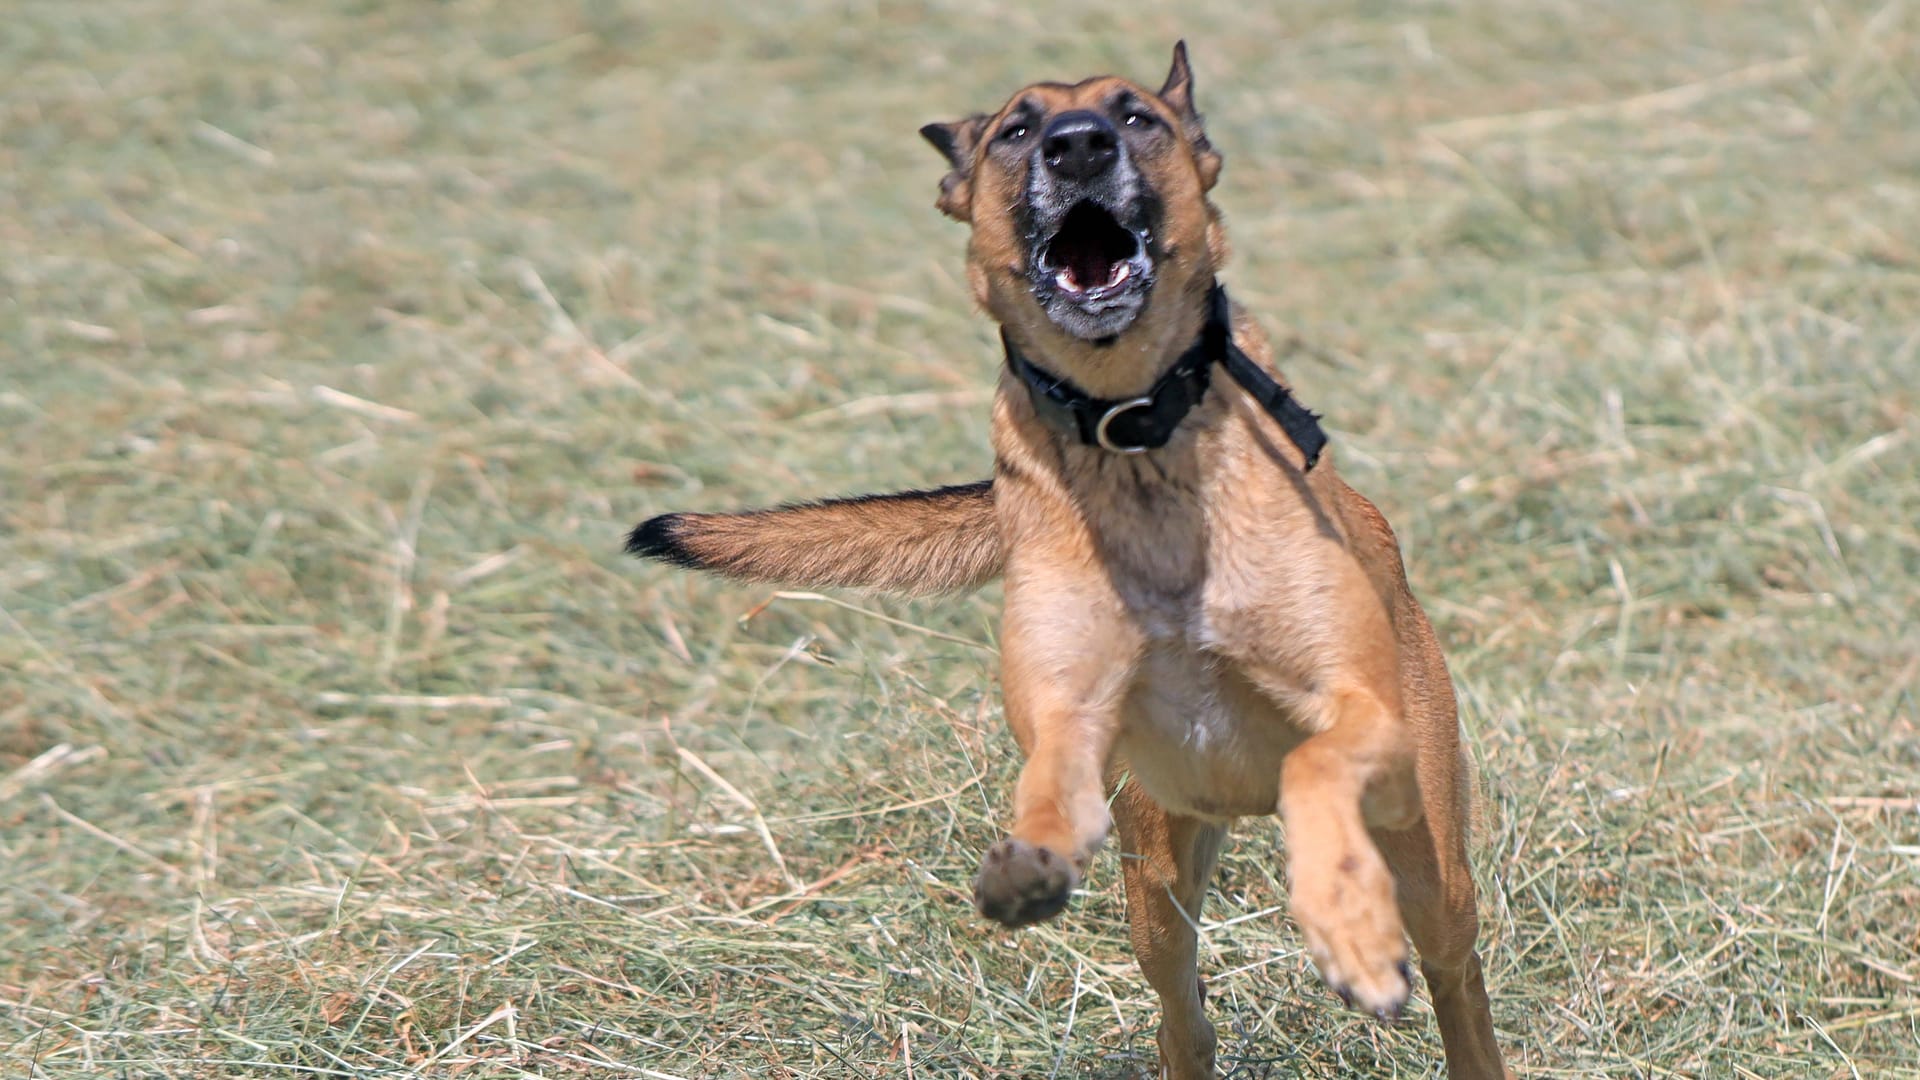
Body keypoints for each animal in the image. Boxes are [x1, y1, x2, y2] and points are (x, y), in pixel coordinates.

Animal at [637, 44, 1505, 1076]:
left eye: (1137, 118)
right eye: (1017, 129)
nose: (1078, 146)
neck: (1135, 436)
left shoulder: (1366, 715)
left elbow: (1314, 765)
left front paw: (1348, 926)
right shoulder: (1067, 716)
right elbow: (1049, 783)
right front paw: (1028, 862)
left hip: (1432, 864)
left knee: (1456, 978)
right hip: (1156, 887)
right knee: (1182, 1009)